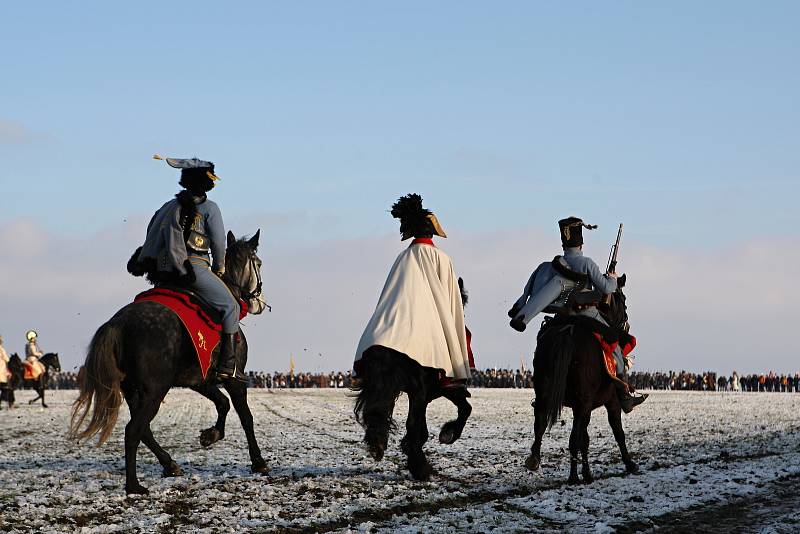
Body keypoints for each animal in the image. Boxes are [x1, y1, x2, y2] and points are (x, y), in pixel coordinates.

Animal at [69, 232, 268, 496]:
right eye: (259, 263)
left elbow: (222, 404)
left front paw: (210, 435)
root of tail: (118, 323)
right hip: (155, 391)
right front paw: (258, 461)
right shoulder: (235, 379)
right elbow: (246, 417)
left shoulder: (199, 380)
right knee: (133, 430)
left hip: (134, 391)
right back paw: (134, 485)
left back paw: (169, 464)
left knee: (144, 430)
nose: (261, 303)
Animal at [520, 288, 640, 486]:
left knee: (541, 423)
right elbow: (617, 431)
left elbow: (585, 438)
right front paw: (629, 464)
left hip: (546, 394)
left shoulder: (582, 407)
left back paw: (534, 459)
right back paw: (573, 476)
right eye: (623, 301)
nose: (626, 324)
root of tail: (567, 332)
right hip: (584, 402)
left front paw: (587, 472)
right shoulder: (609, 402)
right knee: (573, 438)